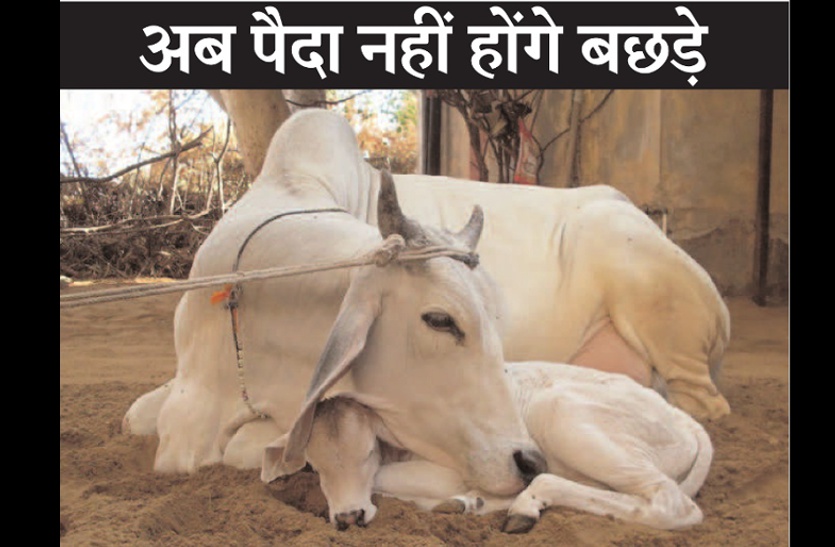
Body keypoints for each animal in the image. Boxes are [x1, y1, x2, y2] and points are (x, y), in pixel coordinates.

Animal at [283, 361, 712, 532]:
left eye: (368, 451)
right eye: (314, 466)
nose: (347, 517)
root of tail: (685, 420)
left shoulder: (449, 468)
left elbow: (384, 477)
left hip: (560, 411)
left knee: (669, 503)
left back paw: (523, 506)